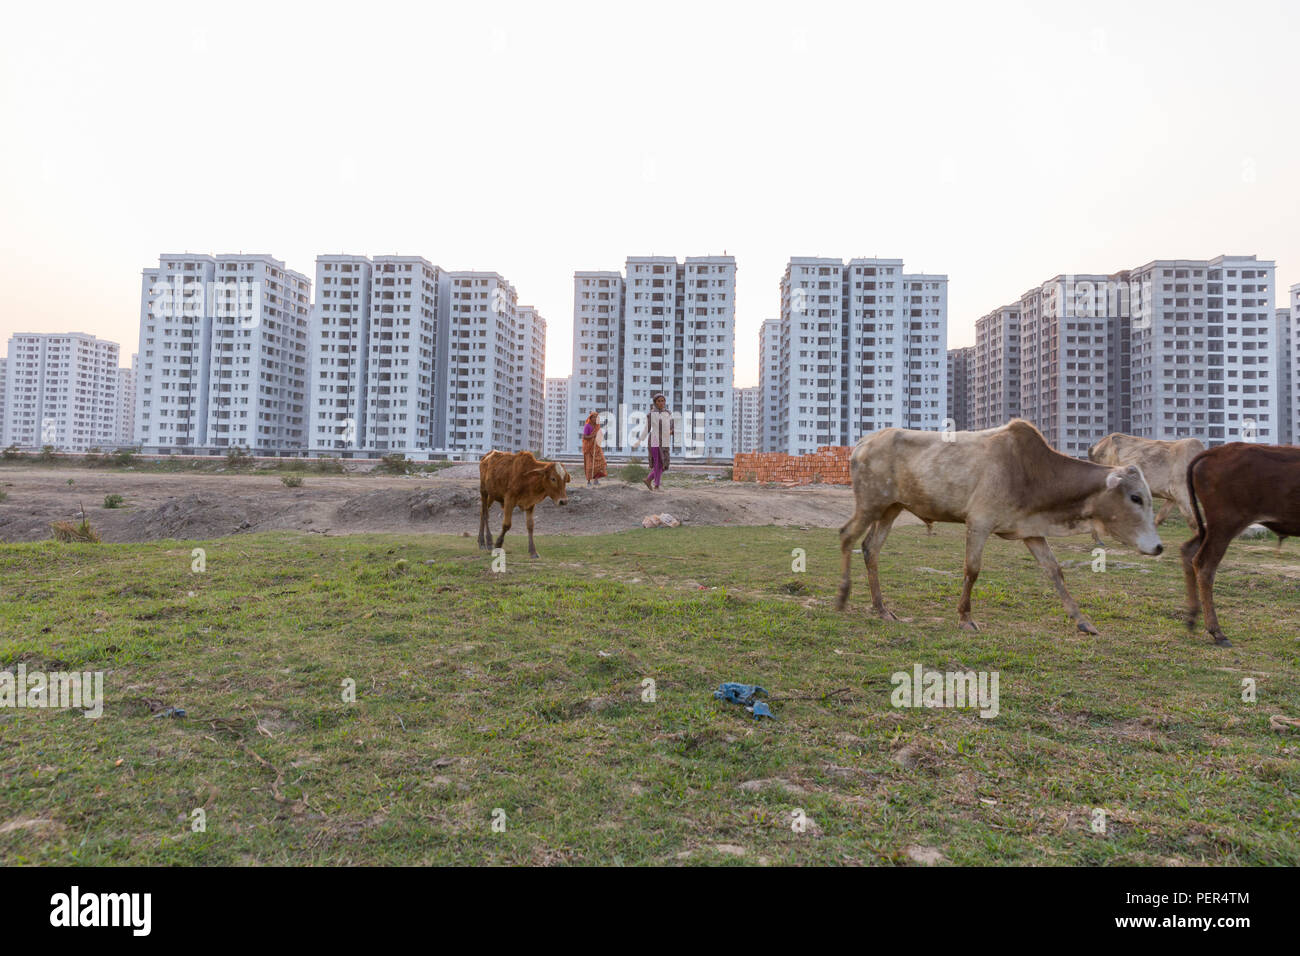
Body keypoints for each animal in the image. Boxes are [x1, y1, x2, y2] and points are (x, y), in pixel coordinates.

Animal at [837, 421, 1164, 634]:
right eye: (1136, 497)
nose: (1159, 547)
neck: (1031, 472)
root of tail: (864, 443)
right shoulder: (979, 523)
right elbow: (972, 570)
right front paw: (965, 618)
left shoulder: (1032, 531)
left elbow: (1054, 571)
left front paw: (1082, 621)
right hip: (870, 505)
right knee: (847, 536)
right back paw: (842, 598)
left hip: (890, 509)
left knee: (870, 548)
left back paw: (881, 608)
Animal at [1180, 444, 1300, 647]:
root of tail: (1215, 451)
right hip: (1225, 526)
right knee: (1204, 566)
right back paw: (1217, 632)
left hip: (1213, 528)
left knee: (1188, 551)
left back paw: (1192, 618)